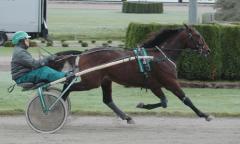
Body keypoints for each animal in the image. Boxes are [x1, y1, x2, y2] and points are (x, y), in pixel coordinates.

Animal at [50, 24, 212, 122]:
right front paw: (204, 115)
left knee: (107, 100)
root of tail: (83, 53)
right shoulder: (169, 82)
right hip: (91, 81)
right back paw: (56, 107)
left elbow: (164, 102)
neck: (160, 56)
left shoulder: (155, 85)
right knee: (68, 87)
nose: (208, 50)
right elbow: (185, 100)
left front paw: (142, 105)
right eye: (198, 36)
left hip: (105, 80)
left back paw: (126, 117)